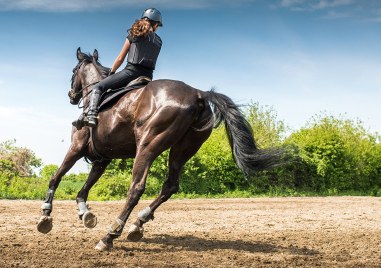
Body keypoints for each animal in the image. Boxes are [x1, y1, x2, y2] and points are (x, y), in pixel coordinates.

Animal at [37, 47, 286, 251]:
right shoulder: (102, 159)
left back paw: (110, 236)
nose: (71, 96)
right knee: (170, 186)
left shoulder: (77, 148)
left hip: (148, 146)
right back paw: (137, 224)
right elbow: (84, 189)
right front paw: (85, 213)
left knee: (136, 188)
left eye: (73, 71)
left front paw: (45, 216)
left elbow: (55, 177)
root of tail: (198, 94)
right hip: (182, 150)